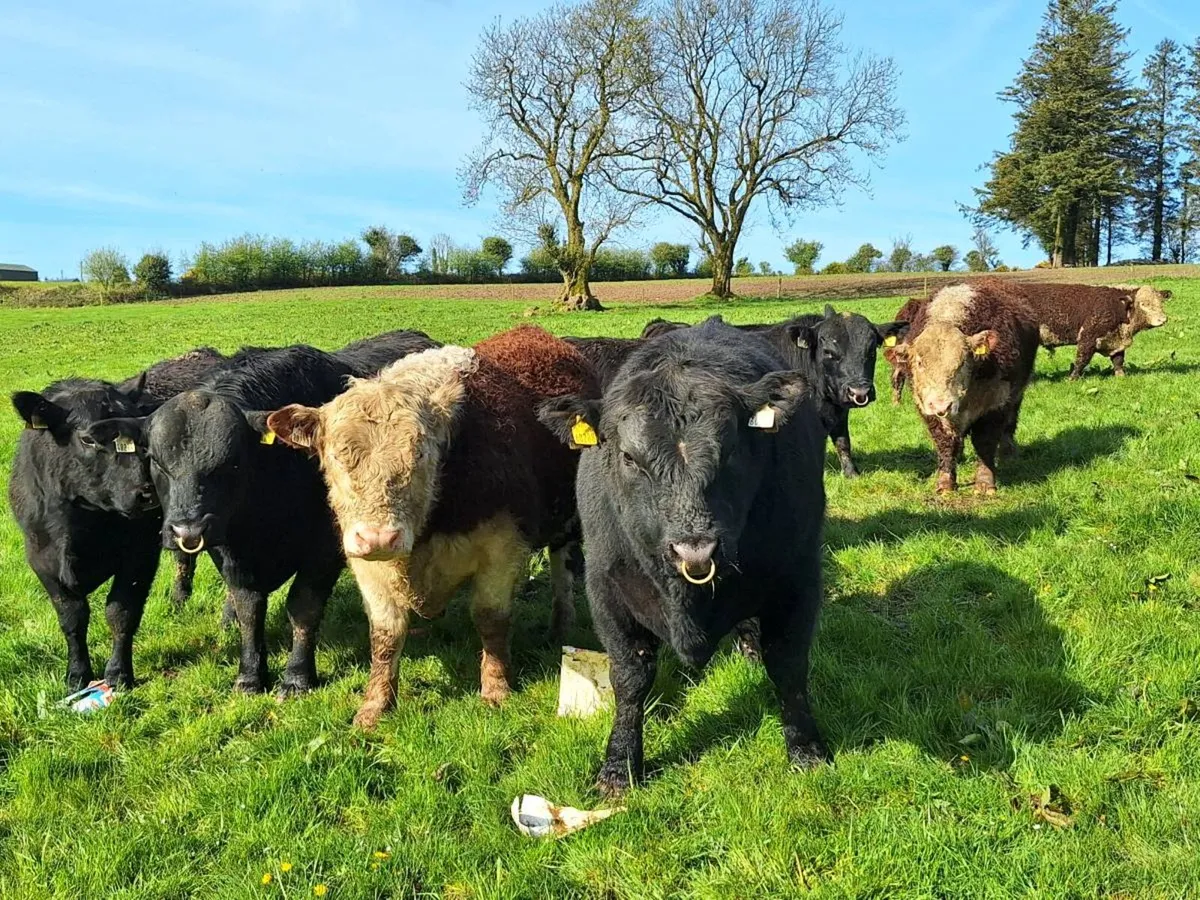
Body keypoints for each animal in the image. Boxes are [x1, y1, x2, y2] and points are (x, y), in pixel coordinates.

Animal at [9, 348, 227, 691]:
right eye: (87, 439)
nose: (148, 491)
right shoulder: (41, 559)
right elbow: (72, 617)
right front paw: (77, 674)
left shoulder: (139, 555)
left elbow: (120, 611)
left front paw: (119, 674)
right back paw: (179, 599)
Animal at [265, 326, 599, 729]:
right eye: (336, 455)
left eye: (420, 453)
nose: (380, 537)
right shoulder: (364, 562)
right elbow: (385, 635)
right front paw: (374, 707)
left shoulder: (502, 549)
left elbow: (491, 619)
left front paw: (496, 689)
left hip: (567, 521)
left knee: (562, 566)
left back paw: (561, 625)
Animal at [537, 317, 829, 795]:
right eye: (629, 457)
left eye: (732, 449)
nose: (695, 548)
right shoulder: (606, 589)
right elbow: (630, 677)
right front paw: (619, 767)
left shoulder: (799, 577)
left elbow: (788, 665)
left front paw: (806, 750)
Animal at [889, 282, 1039, 494]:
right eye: (919, 363)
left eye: (962, 363)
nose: (942, 406)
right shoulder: (927, 408)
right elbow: (945, 442)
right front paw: (945, 482)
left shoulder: (996, 402)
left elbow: (985, 442)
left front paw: (985, 483)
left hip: (1017, 395)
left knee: (1010, 423)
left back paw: (1008, 452)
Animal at [1012, 282, 1170, 379]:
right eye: (1143, 304)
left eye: (1160, 303)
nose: (1163, 319)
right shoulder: (1088, 337)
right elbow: (1081, 360)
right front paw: (1072, 378)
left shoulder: (1115, 341)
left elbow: (1118, 361)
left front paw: (1121, 377)